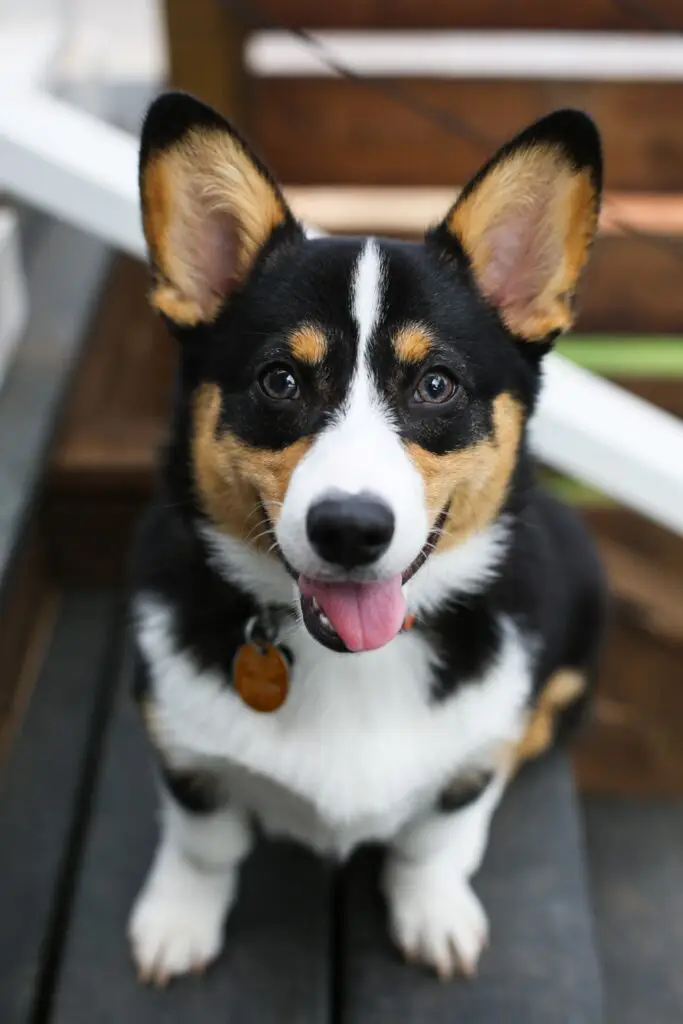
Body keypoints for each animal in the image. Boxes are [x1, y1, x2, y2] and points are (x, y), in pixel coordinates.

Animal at [129, 94, 610, 983]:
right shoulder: (184, 753)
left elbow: (436, 836)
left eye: (435, 384)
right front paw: (177, 922)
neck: (350, 663)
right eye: (280, 379)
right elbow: (202, 842)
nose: (349, 529)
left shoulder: (471, 763)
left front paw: (435, 917)